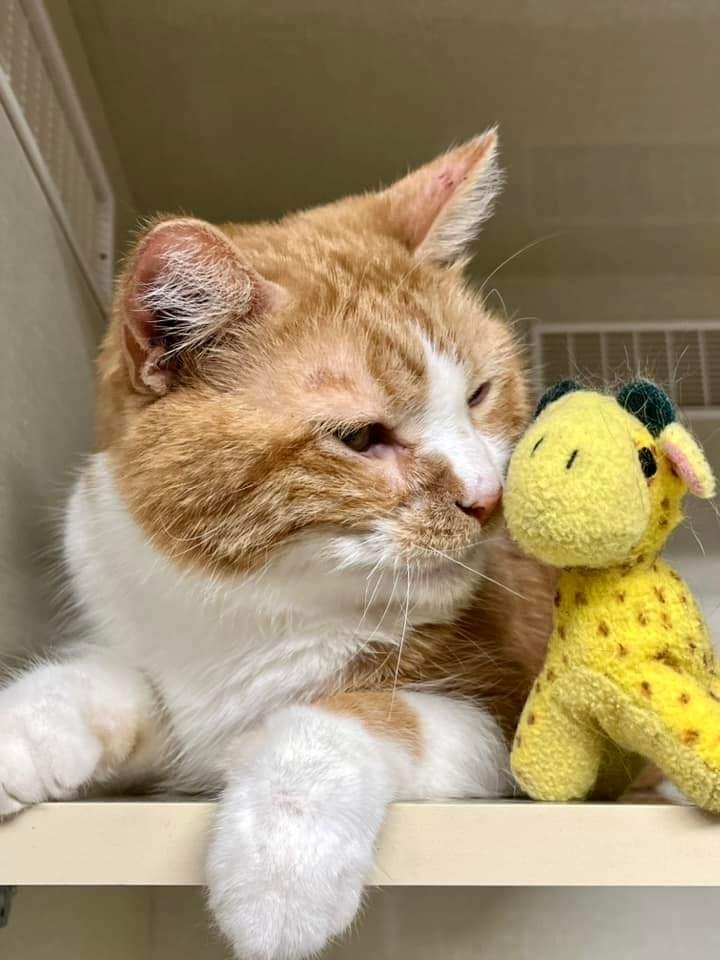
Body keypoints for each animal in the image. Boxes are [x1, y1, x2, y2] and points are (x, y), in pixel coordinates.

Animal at [0, 133, 552, 960]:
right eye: (360, 437)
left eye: (480, 394)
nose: (487, 499)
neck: (251, 606)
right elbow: (110, 680)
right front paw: (27, 726)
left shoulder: (503, 721)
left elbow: (348, 713)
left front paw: (281, 864)